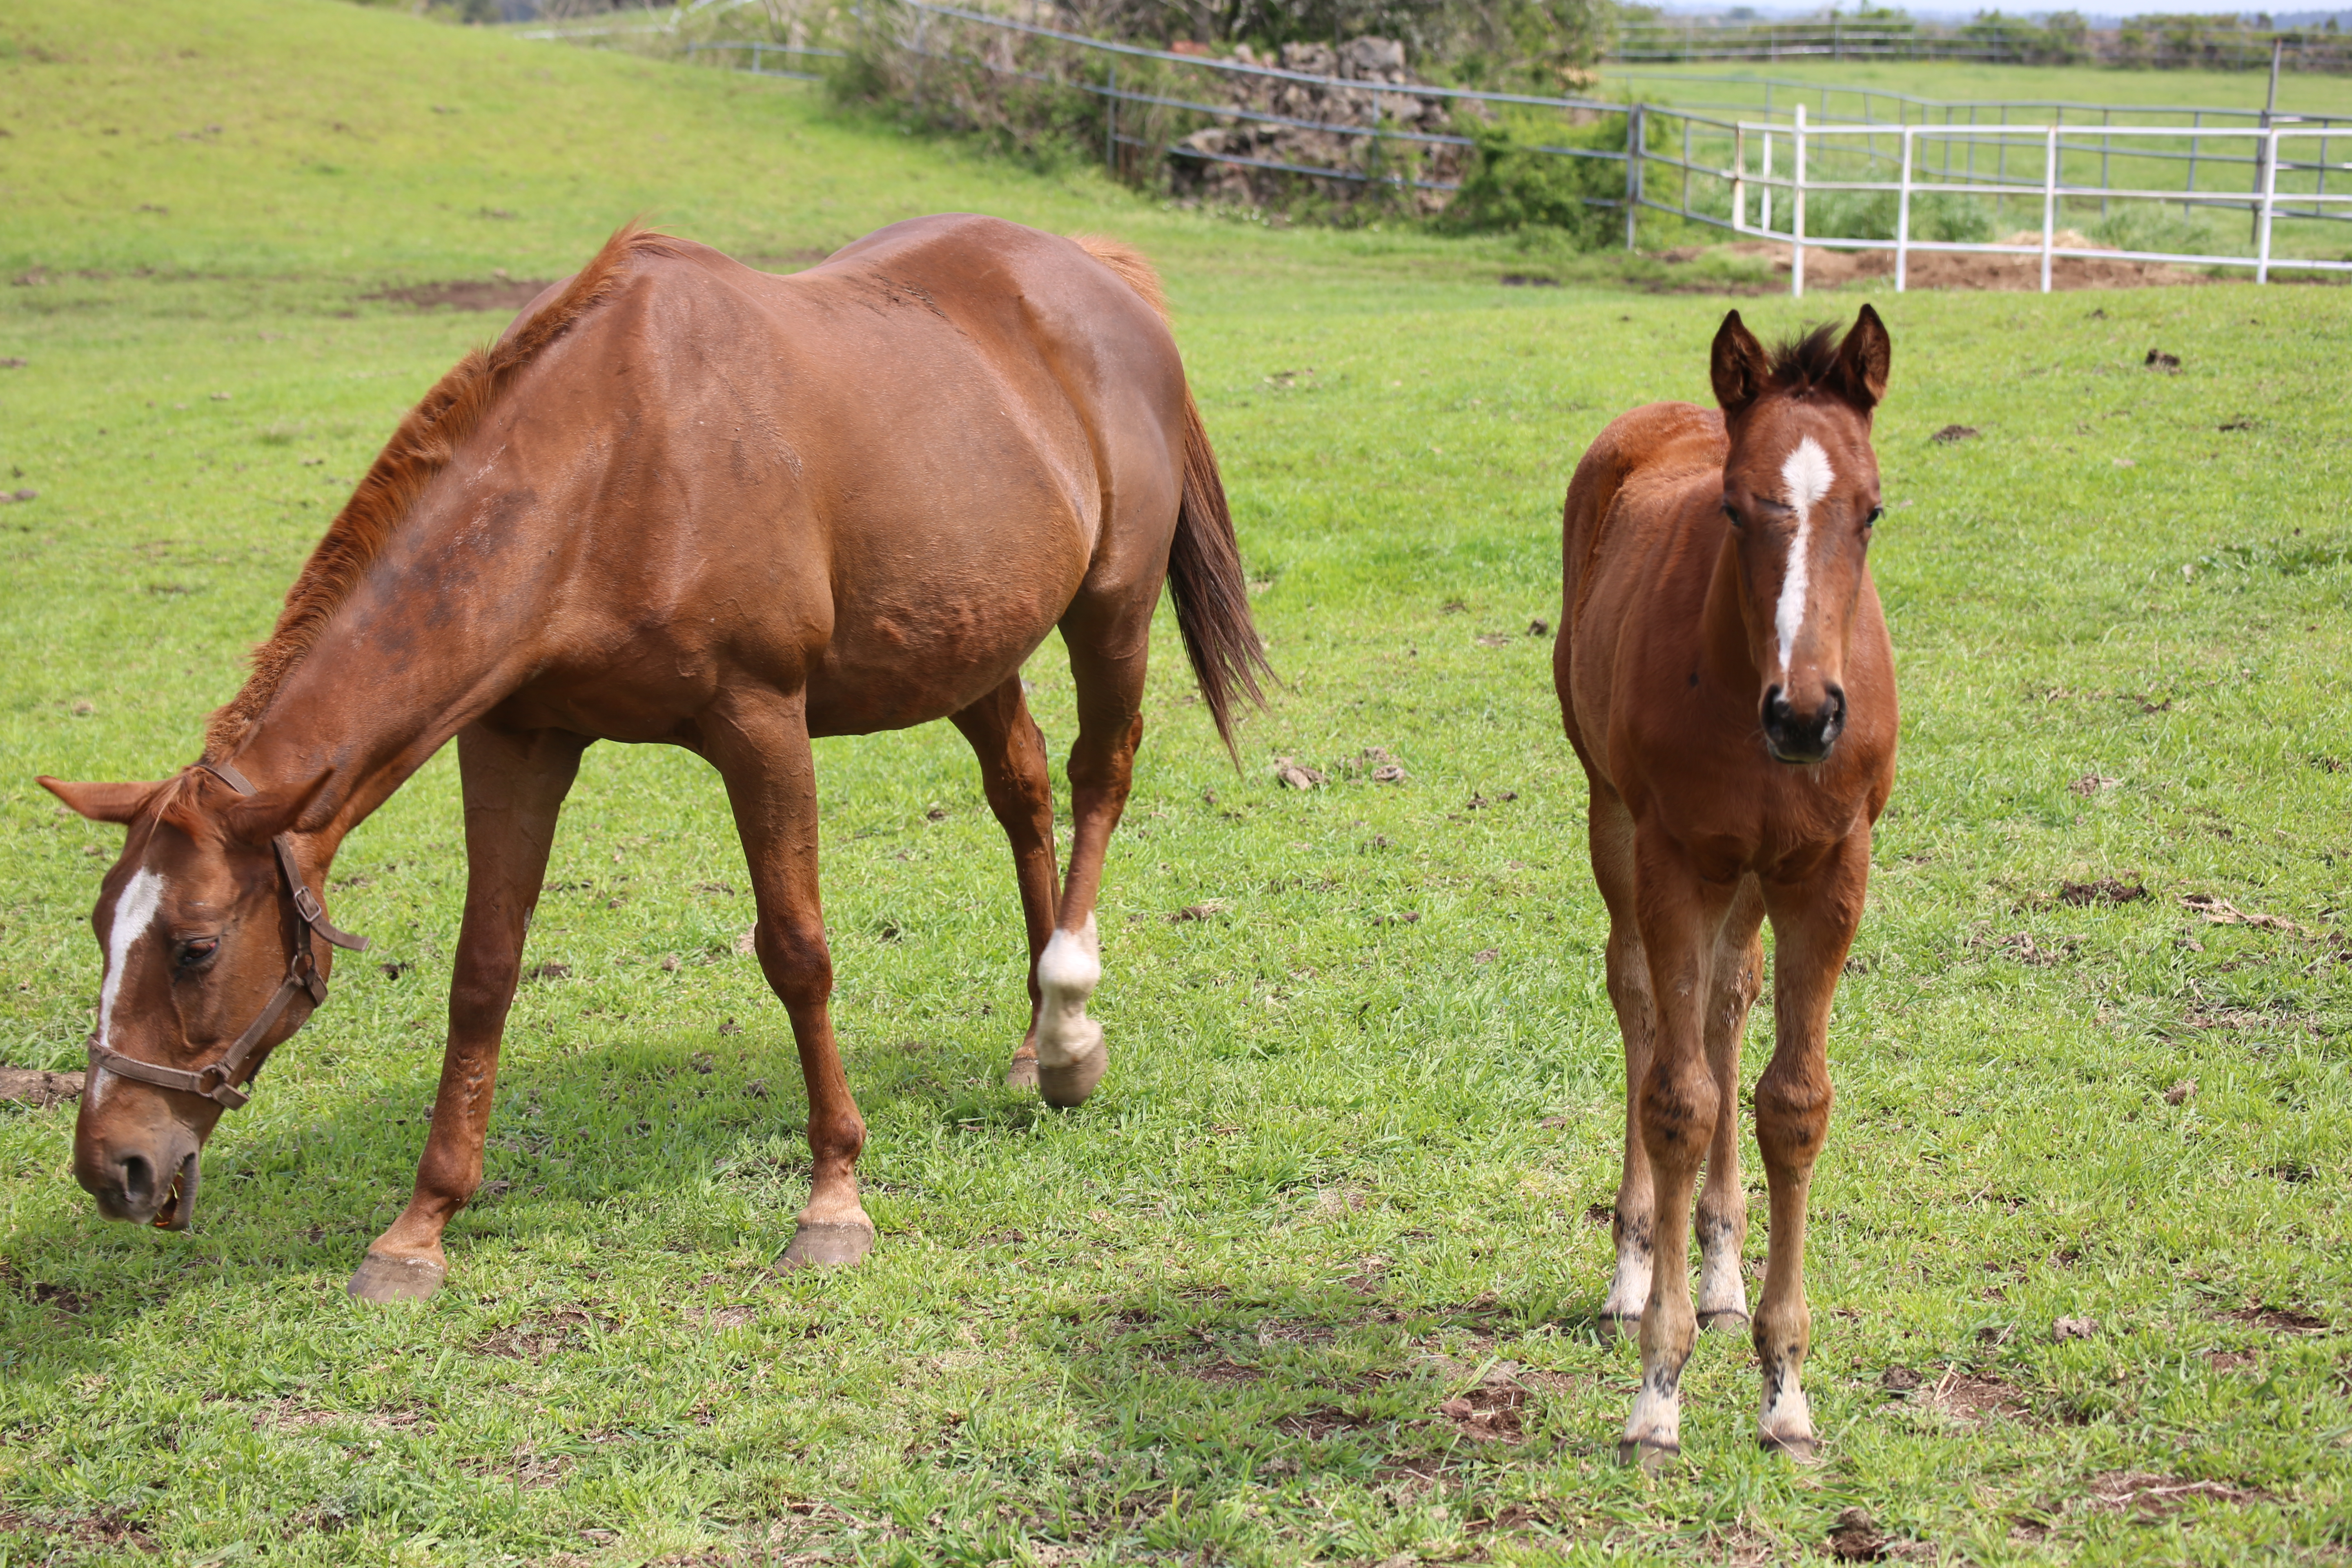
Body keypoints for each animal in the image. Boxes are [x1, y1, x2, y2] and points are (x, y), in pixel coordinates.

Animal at [37, 215, 1270, 1307]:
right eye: (103, 930)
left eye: (195, 948)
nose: (114, 1165)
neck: (612, 461)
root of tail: (1095, 272)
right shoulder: (514, 739)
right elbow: (484, 971)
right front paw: (419, 1229)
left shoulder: (759, 722)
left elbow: (797, 953)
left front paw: (833, 1201)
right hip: (968, 643)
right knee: (1021, 790)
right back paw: (1028, 1041)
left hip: (1110, 611)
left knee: (1099, 775)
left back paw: (1066, 1027)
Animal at [1543, 310, 1910, 1476]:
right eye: (1734, 507)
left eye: (1871, 509)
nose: (1805, 715)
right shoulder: (1674, 857)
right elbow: (1679, 1097)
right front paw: (1655, 1394)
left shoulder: (1827, 871)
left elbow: (1790, 1103)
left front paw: (1785, 1390)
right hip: (1616, 816)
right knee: (1643, 1005)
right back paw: (1633, 1269)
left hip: (1750, 878)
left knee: (1723, 1000)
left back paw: (1717, 1271)